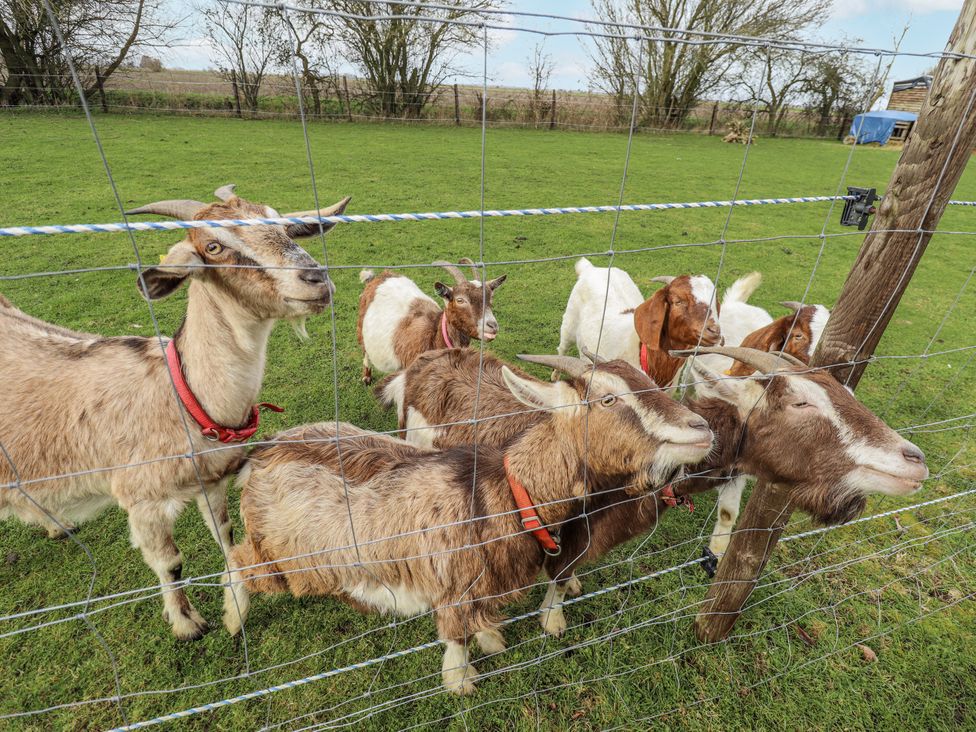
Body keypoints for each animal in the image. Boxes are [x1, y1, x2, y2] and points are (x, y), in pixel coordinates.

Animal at [0, 185, 349, 639]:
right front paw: (188, 624)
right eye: (213, 246)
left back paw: (56, 525)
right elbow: (170, 563)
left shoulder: (213, 482)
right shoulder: (141, 500)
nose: (315, 279)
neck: (184, 398)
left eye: (285, 227)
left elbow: (227, 538)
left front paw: (235, 613)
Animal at [223, 355, 713, 694]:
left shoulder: (487, 579)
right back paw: (232, 619)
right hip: (282, 554)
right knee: (236, 561)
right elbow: (455, 633)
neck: (508, 493)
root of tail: (262, 453)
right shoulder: (453, 582)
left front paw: (492, 638)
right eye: (608, 398)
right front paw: (461, 680)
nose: (702, 428)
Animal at [357, 259, 507, 384]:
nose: (492, 325)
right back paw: (366, 377)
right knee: (365, 352)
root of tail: (378, 277)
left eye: (490, 298)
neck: (434, 335)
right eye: (460, 300)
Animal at [376, 346, 927, 635]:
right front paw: (553, 621)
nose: (913, 459)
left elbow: (569, 574)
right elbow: (559, 575)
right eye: (801, 402)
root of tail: (423, 363)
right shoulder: (568, 531)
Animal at [555, 257, 721, 386]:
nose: (714, 331)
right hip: (569, 323)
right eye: (678, 301)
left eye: (715, 303)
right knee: (562, 348)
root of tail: (591, 269)